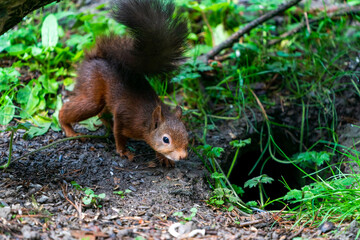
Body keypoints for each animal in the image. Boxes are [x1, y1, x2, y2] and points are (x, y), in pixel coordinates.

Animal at [59, 0, 188, 167]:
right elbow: (119, 134)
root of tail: (95, 58)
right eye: (166, 139)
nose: (182, 156)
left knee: (101, 112)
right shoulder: (123, 115)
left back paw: (106, 123)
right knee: (70, 110)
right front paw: (123, 151)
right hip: (91, 89)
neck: (146, 120)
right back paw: (70, 130)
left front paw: (163, 158)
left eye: (186, 133)